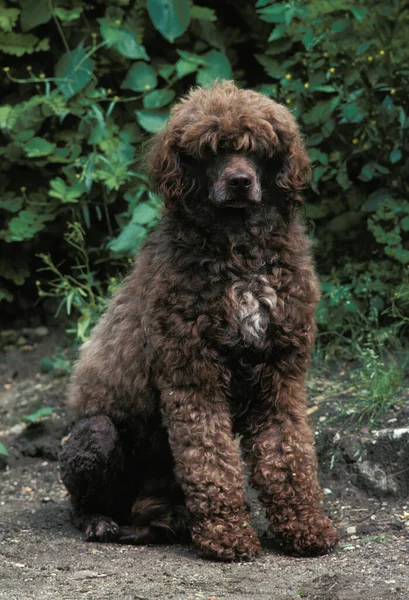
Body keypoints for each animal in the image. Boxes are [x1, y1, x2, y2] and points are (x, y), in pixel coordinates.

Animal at [59, 81, 338, 564]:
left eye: (258, 148)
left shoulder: (280, 377)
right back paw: (101, 521)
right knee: (82, 502)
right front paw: (228, 536)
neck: (239, 251)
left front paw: (305, 526)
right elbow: (210, 461)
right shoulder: (194, 377)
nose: (240, 182)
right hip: (96, 432)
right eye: (212, 150)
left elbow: (289, 456)